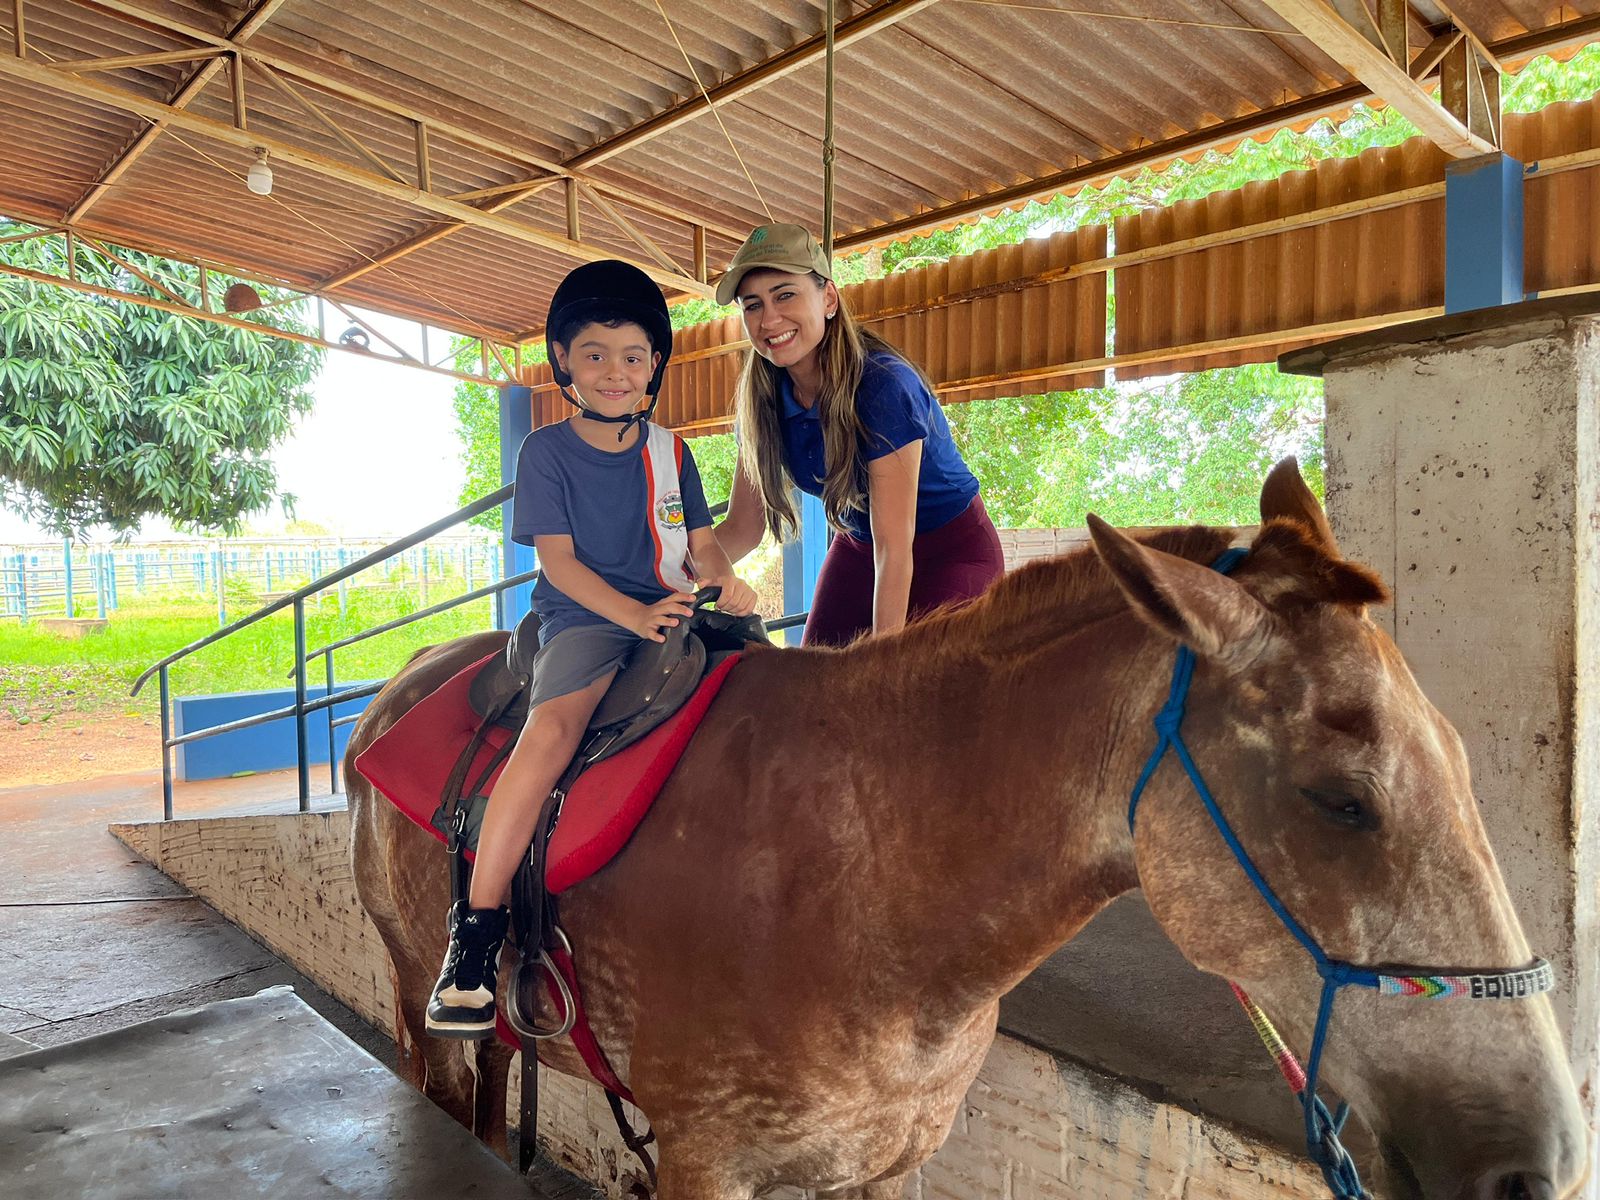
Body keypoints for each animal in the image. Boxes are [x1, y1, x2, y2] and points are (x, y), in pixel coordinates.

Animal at [347, 464, 1587, 1200]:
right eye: (1342, 799)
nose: (1545, 1161)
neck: (862, 883)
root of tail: (401, 682)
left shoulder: (885, 1163)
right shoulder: (706, 1159)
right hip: (413, 992)